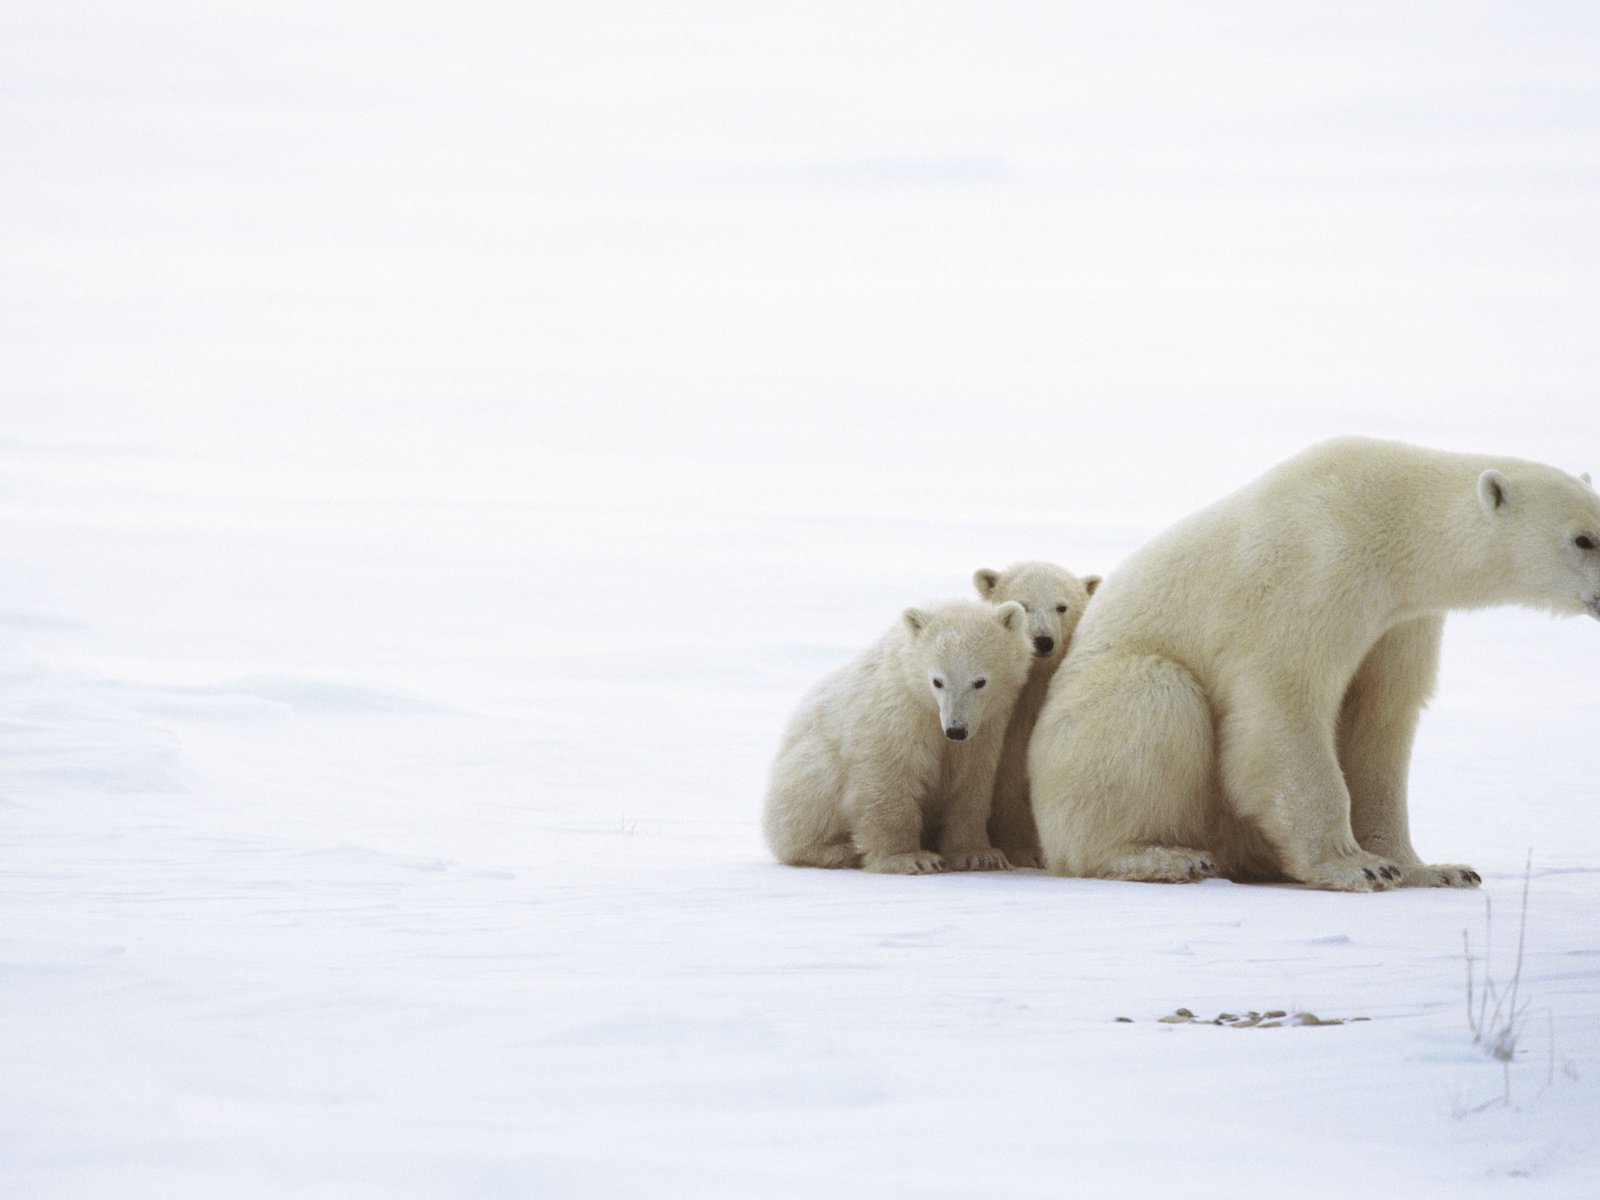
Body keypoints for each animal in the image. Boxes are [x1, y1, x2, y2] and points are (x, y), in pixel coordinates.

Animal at [1024, 441, 1600, 896]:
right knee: (1154, 697)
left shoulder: (1400, 621)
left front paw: (1434, 869)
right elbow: (1284, 705)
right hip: (1088, 716)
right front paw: (1357, 868)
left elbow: (1380, 721)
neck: (1387, 514)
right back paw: (1163, 856)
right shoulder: (1314, 573)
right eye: (1582, 538)